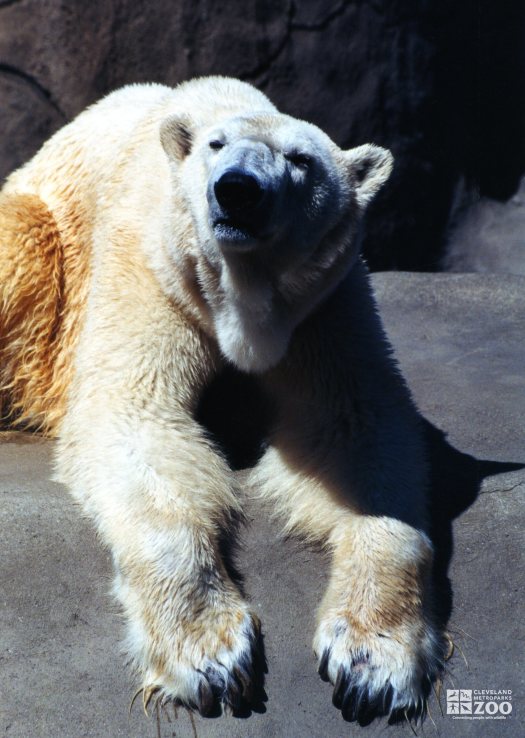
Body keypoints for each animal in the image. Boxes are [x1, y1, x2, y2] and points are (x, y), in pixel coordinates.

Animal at [0, 77, 444, 720]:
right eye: (216, 146)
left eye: (301, 160)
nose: (237, 190)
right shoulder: (154, 265)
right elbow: (135, 416)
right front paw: (209, 656)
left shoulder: (321, 307)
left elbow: (357, 429)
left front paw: (373, 662)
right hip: (43, 241)